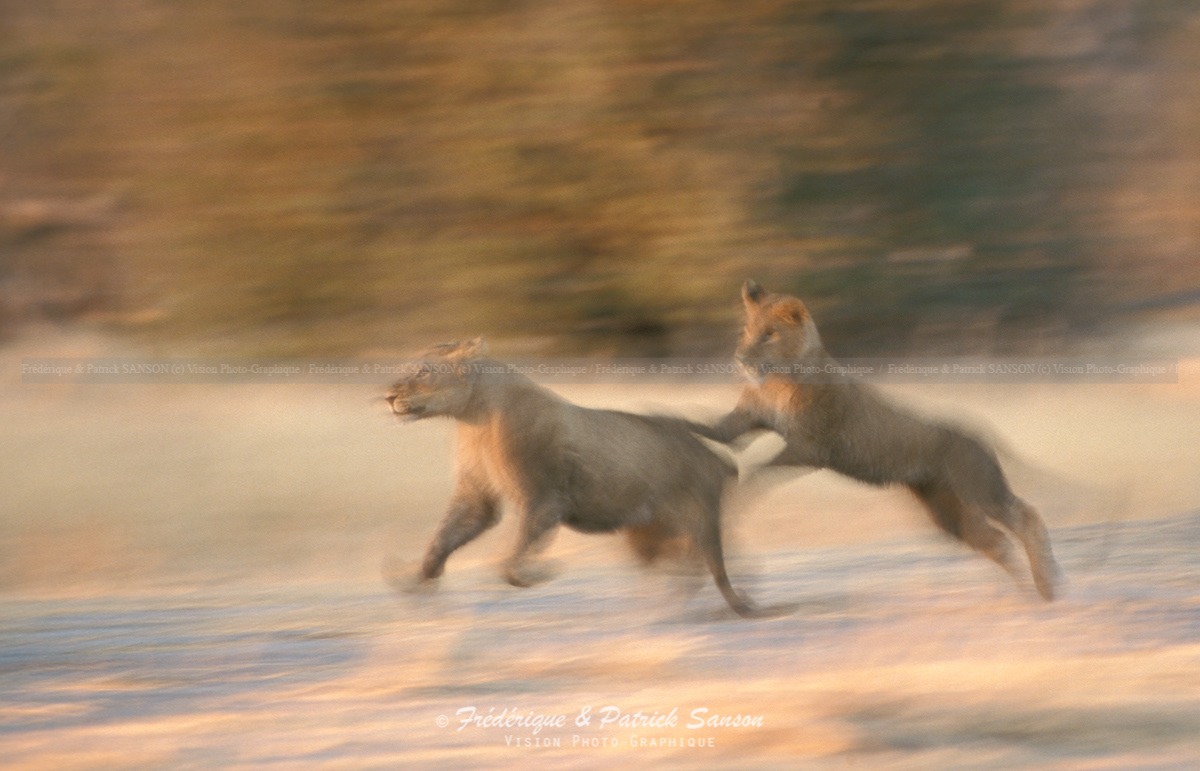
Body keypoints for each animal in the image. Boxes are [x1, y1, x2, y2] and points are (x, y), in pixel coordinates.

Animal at [384, 338, 764, 617]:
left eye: (422, 371)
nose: (389, 397)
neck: (472, 418)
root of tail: (714, 455)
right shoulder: (477, 498)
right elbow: (443, 539)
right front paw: (420, 577)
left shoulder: (544, 500)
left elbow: (508, 562)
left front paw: (539, 574)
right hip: (647, 532)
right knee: (682, 565)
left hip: (698, 517)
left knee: (716, 566)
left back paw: (734, 605)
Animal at [689, 281, 1062, 600]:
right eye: (746, 331)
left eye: (769, 334)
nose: (740, 359)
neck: (777, 379)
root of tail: (982, 433)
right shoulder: (747, 418)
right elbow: (713, 428)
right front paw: (684, 424)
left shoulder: (810, 447)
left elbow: (756, 467)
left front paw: (737, 483)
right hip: (947, 510)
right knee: (996, 541)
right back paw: (1027, 592)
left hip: (979, 487)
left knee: (1026, 515)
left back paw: (1048, 586)